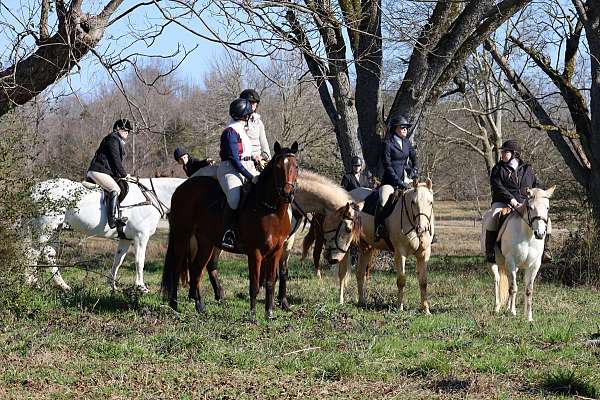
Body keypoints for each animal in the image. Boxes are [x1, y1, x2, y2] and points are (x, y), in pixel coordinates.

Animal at [27, 177, 185, 290]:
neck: (151, 198)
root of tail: (34, 190)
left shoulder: (126, 239)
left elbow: (118, 260)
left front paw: (112, 285)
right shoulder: (141, 236)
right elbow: (140, 261)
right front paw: (141, 287)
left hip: (55, 229)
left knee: (48, 254)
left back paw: (63, 286)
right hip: (45, 229)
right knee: (33, 253)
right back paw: (33, 284)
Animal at [162, 142, 300, 320]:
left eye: (296, 166)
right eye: (277, 167)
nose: (287, 193)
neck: (271, 211)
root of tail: (181, 188)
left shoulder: (276, 251)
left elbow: (270, 282)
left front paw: (269, 314)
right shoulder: (254, 252)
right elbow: (254, 284)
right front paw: (253, 316)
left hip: (206, 243)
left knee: (196, 269)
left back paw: (200, 307)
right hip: (182, 236)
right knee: (178, 268)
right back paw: (174, 305)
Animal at [338, 180, 436, 314]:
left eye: (430, 202)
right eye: (413, 202)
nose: (422, 228)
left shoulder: (424, 254)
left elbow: (423, 282)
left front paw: (425, 310)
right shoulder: (400, 253)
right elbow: (401, 280)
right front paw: (399, 307)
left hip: (366, 248)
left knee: (360, 273)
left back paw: (362, 302)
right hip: (346, 246)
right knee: (342, 273)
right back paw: (340, 301)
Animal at [480, 187, 556, 322]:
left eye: (547, 207)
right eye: (530, 207)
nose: (540, 233)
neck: (528, 236)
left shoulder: (534, 265)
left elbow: (528, 290)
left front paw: (529, 317)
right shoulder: (511, 261)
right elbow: (514, 288)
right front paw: (512, 312)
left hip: (512, 267)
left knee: (509, 282)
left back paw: (507, 307)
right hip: (494, 263)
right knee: (497, 281)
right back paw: (498, 308)